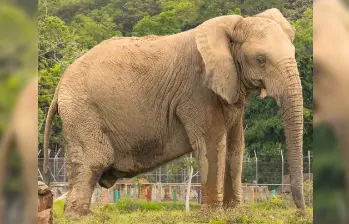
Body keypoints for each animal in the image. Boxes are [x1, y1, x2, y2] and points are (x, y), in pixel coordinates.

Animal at [42, 7, 304, 218]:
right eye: (260, 59)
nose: (300, 212)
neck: (232, 26)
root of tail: (60, 84)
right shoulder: (197, 91)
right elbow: (211, 144)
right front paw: (211, 215)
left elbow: (235, 146)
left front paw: (233, 213)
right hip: (83, 112)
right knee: (93, 161)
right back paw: (82, 216)